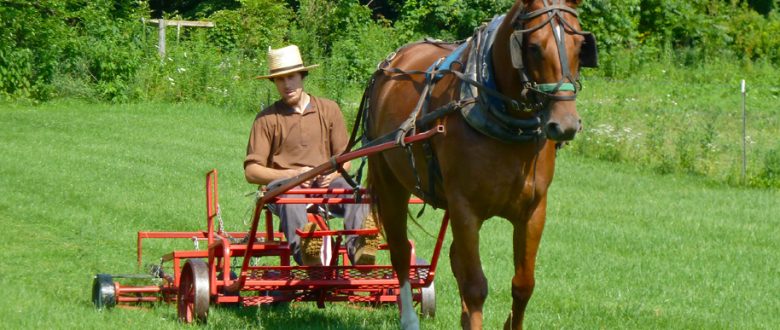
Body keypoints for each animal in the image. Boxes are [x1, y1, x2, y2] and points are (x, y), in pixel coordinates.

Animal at [362, 1, 600, 328]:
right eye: (534, 47)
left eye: (579, 46)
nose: (565, 125)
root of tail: (390, 63)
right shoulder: (465, 208)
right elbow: (475, 286)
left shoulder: (534, 211)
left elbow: (523, 285)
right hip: (390, 183)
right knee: (400, 251)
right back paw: (409, 319)